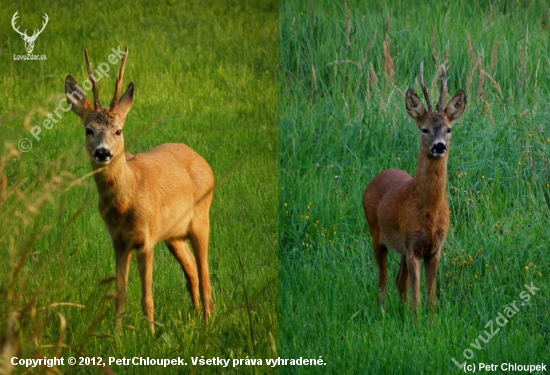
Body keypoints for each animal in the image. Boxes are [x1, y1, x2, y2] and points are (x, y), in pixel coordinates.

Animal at [64, 47, 216, 332]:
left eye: (118, 130)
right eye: (89, 130)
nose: (103, 152)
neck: (126, 199)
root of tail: (202, 160)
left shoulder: (146, 240)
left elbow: (147, 295)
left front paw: (151, 333)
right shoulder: (119, 242)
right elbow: (120, 293)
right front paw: (116, 333)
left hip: (202, 219)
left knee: (205, 274)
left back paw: (206, 323)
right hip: (174, 235)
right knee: (191, 270)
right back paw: (194, 315)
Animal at [364, 64, 468, 312]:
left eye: (449, 129)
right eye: (424, 129)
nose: (439, 146)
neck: (429, 211)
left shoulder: (434, 248)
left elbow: (431, 297)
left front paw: (429, 319)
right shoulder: (412, 245)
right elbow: (417, 298)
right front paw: (415, 318)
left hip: (400, 246)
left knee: (399, 280)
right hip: (376, 233)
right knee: (382, 281)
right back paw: (383, 313)